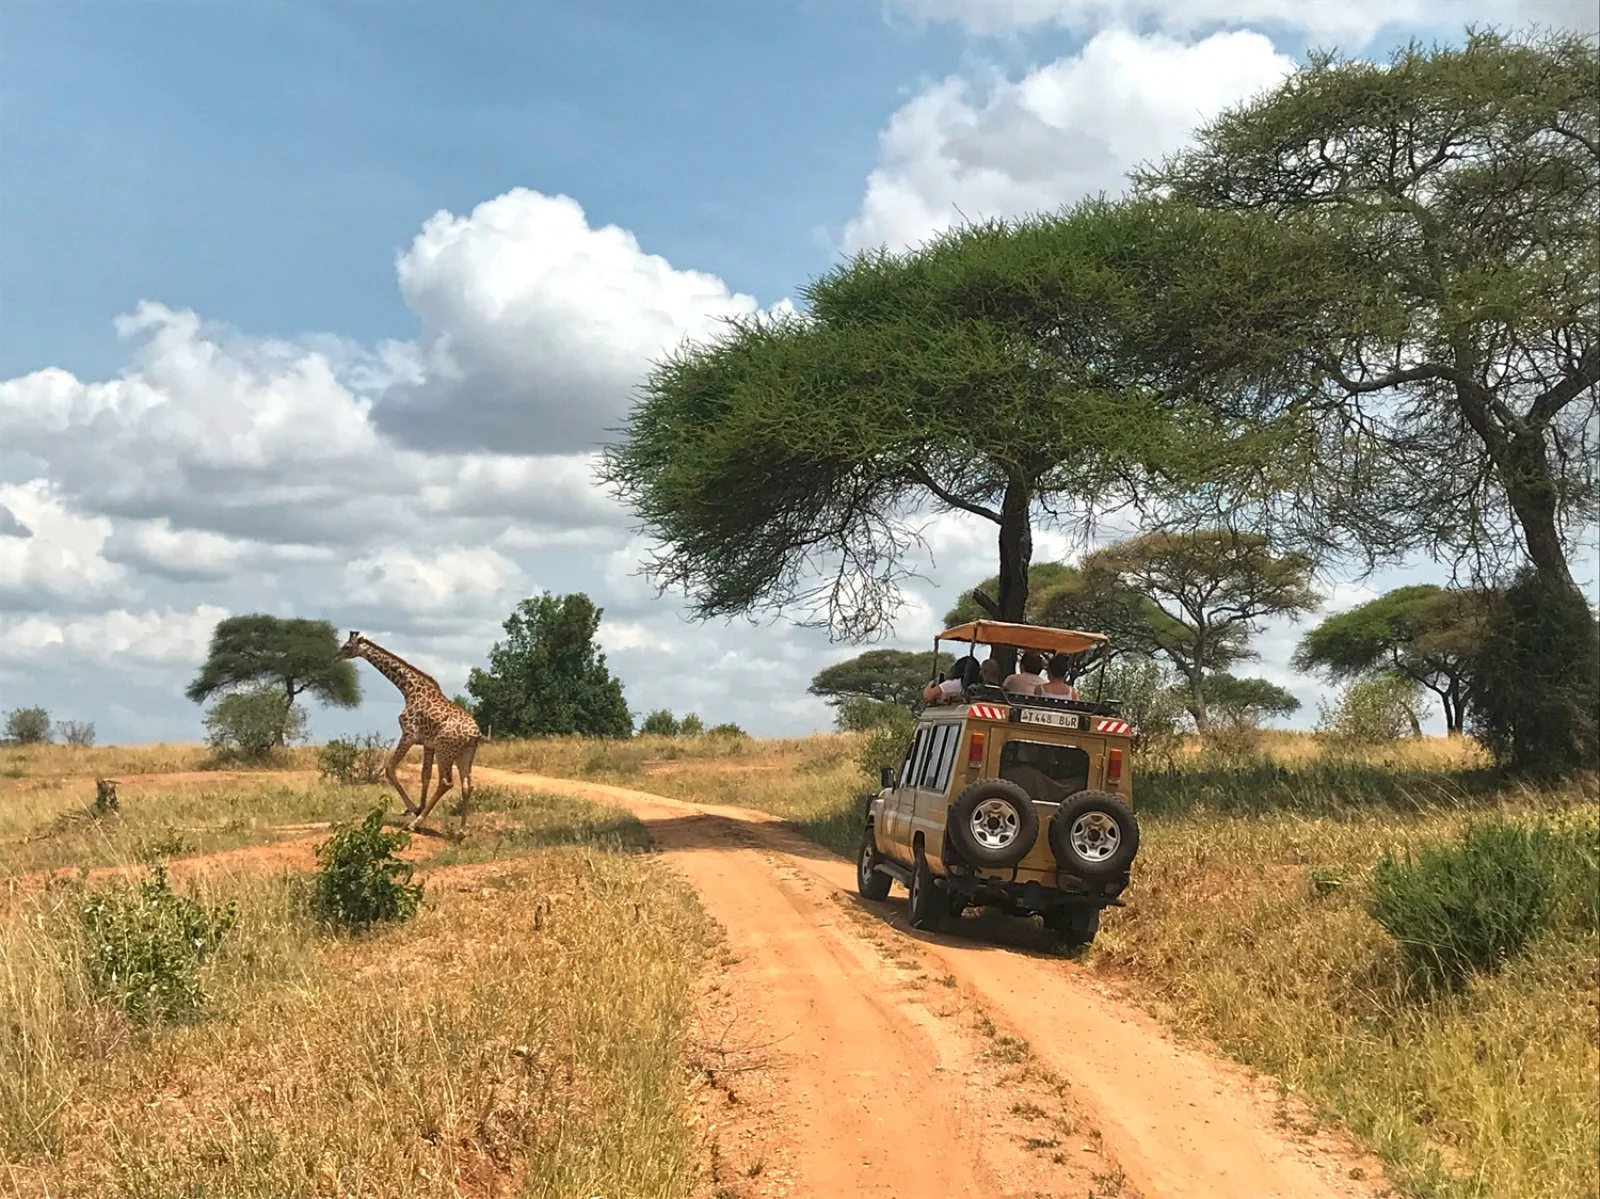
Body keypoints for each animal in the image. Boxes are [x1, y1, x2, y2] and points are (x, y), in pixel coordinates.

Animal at [337, 627, 480, 832]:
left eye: (347, 646)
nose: (336, 655)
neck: (408, 688)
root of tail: (475, 734)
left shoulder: (409, 735)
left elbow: (389, 768)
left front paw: (413, 809)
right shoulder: (428, 744)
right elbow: (425, 775)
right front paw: (419, 807)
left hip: (445, 751)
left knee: (446, 783)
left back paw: (415, 823)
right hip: (465, 754)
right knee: (467, 786)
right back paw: (461, 831)